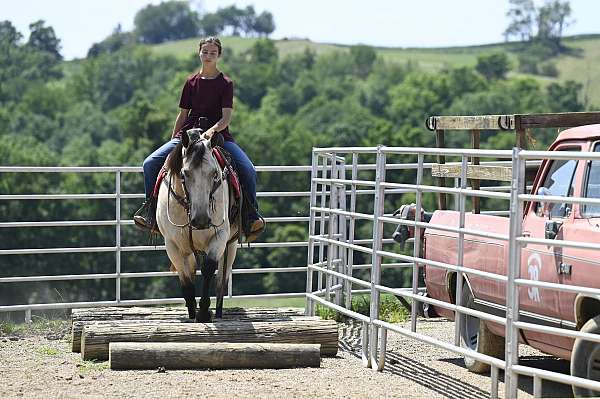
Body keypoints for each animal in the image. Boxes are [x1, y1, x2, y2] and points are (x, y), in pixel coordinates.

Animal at [157, 133, 239, 324]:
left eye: (214, 173)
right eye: (184, 173)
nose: (201, 219)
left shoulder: (220, 237)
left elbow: (209, 268)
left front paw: (203, 312)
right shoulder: (172, 245)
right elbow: (186, 280)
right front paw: (193, 312)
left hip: (231, 245)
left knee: (222, 278)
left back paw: (218, 312)